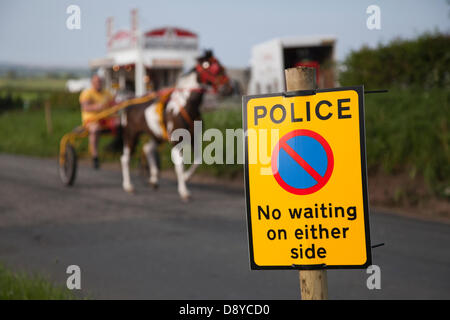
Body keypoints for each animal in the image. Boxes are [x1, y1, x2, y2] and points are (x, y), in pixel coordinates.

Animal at [119, 50, 232, 200]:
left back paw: (154, 179)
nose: (228, 87)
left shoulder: (194, 139)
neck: (186, 105)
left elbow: (198, 160)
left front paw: (186, 177)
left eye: (219, 63)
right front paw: (184, 191)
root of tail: (128, 103)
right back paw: (128, 186)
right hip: (131, 135)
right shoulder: (176, 142)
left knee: (147, 149)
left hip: (156, 136)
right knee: (125, 158)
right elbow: (180, 165)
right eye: (208, 65)